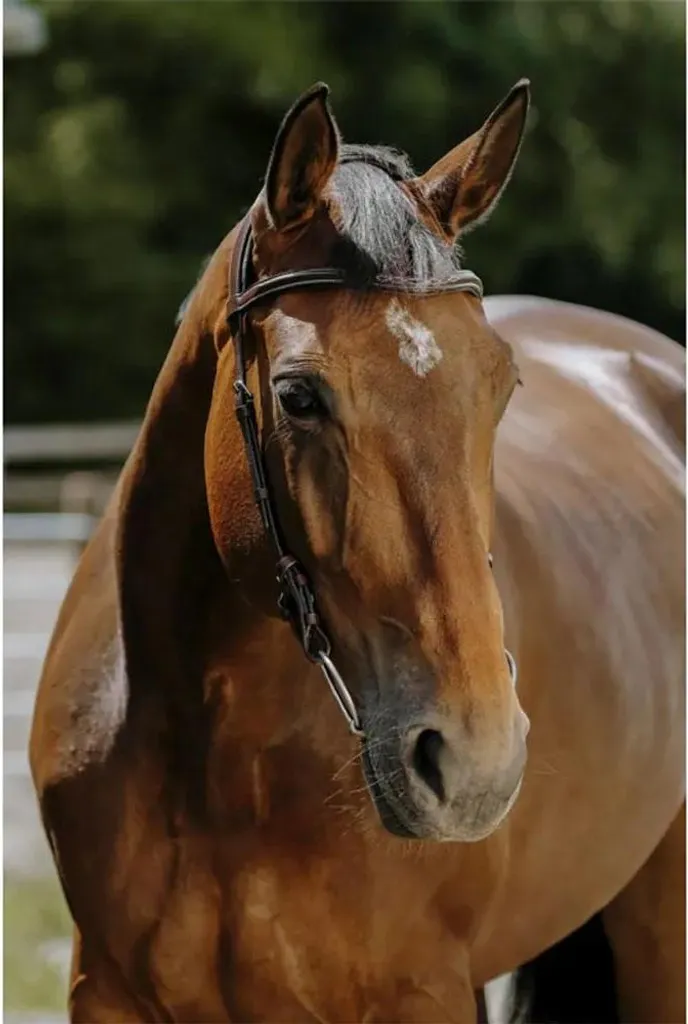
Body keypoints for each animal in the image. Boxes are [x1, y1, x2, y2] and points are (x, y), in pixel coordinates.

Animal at [29, 80, 685, 1023]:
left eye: (503, 386)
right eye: (299, 396)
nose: (475, 764)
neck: (218, 760)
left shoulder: (420, 994)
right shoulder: (107, 992)